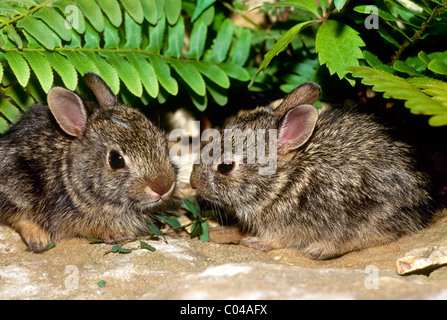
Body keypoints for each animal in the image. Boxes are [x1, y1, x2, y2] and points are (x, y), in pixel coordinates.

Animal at [191, 82, 436, 260]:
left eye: (225, 167)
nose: (194, 182)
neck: (283, 182)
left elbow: (275, 239)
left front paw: (256, 242)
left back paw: (319, 249)